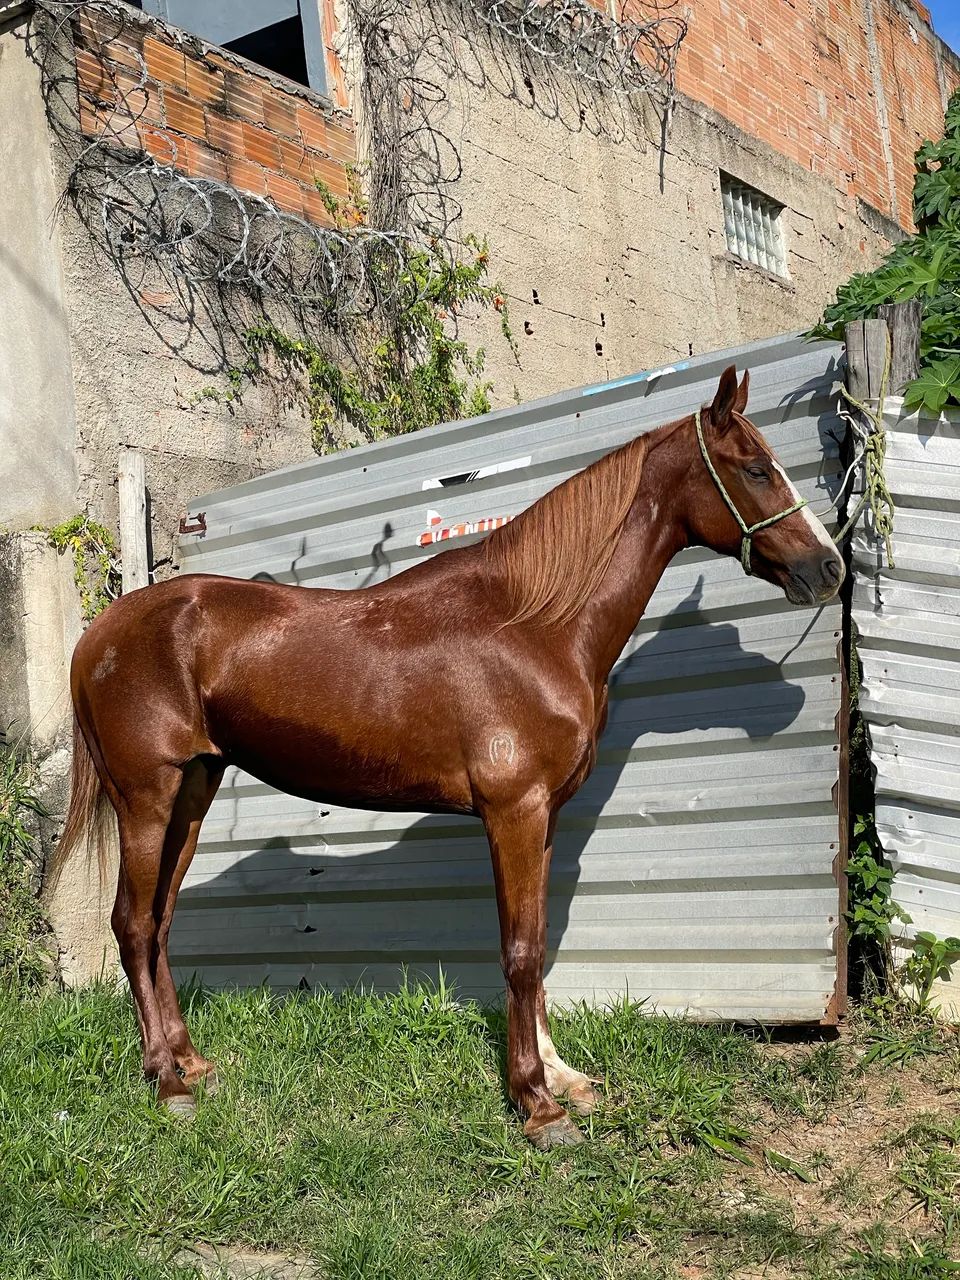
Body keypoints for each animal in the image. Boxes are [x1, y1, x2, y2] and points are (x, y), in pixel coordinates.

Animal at [54, 365, 844, 1149]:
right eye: (756, 468)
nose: (829, 568)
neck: (537, 626)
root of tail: (100, 633)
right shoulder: (513, 813)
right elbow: (518, 952)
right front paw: (537, 1106)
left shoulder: (543, 819)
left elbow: (538, 945)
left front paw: (562, 1079)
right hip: (147, 799)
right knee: (131, 924)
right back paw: (167, 1085)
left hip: (193, 793)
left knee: (159, 923)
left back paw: (193, 1065)